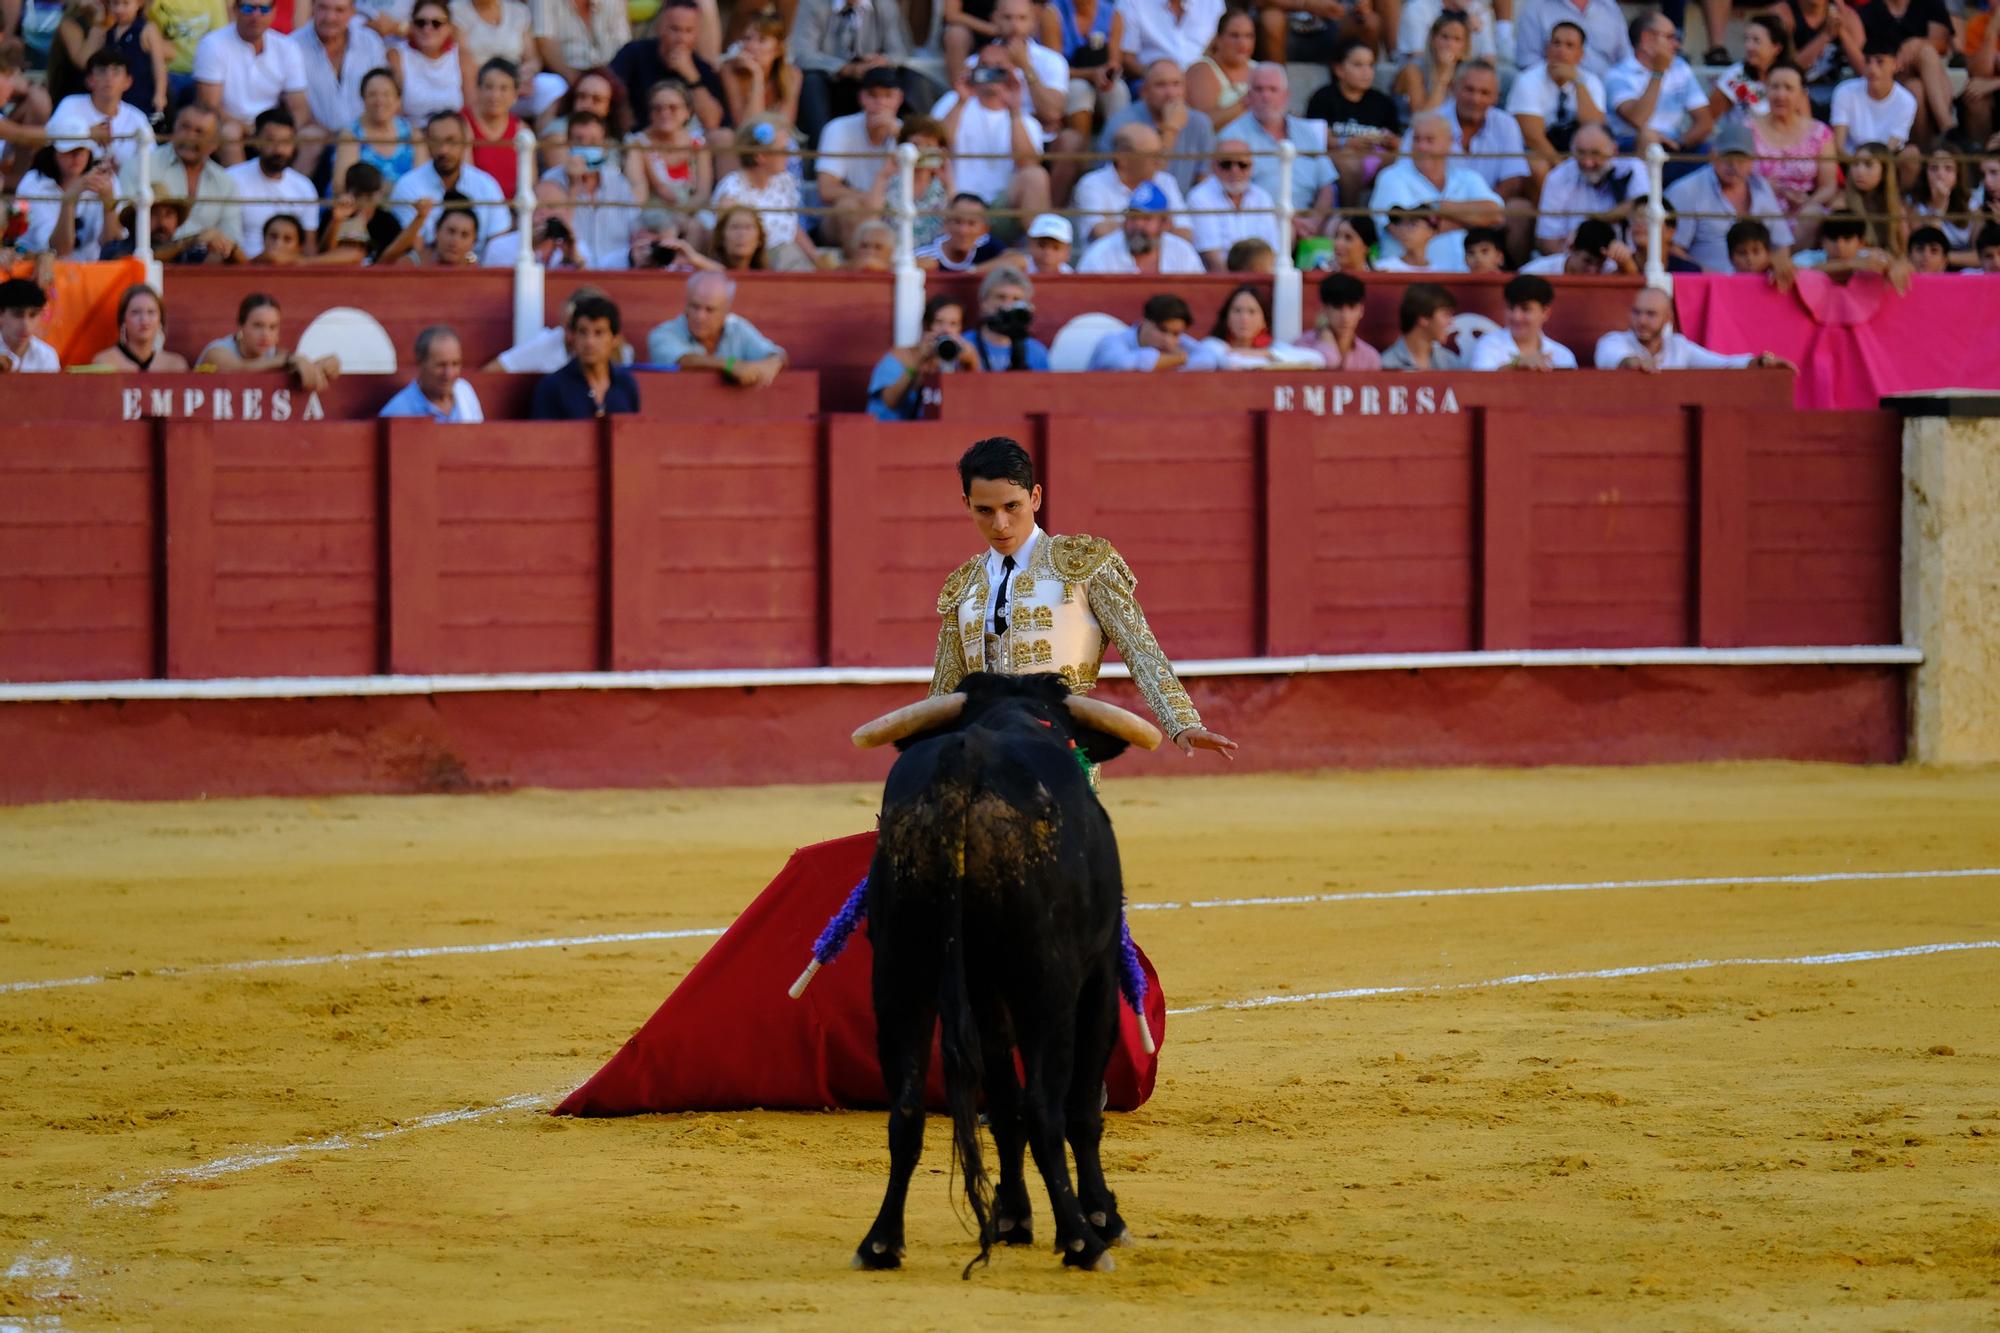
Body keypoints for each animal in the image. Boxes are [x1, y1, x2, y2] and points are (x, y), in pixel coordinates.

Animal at [856, 668, 1144, 1272]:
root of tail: (964, 768)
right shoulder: (1099, 978)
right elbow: (1079, 1107)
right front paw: (1103, 1217)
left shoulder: (985, 994)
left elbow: (1002, 1102)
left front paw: (1013, 1217)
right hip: (1047, 987)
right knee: (1046, 1109)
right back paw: (1082, 1242)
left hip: (898, 976)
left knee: (908, 1108)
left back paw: (881, 1242)